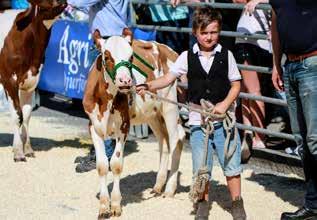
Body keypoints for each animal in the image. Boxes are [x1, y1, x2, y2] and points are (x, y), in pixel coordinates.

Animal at [82, 31, 185, 218]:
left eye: (131, 57)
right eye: (106, 56)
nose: (125, 81)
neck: (106, 100)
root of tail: (169, 50)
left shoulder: (123, 127)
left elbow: (116, 164)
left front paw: (115, 205)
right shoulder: (93, 126)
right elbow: (102, 166)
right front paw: (103, 206)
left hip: (170, 106)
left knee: (176, 139)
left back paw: (169, 188)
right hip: (153, 114)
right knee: (164, 140)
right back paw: (158, 185)